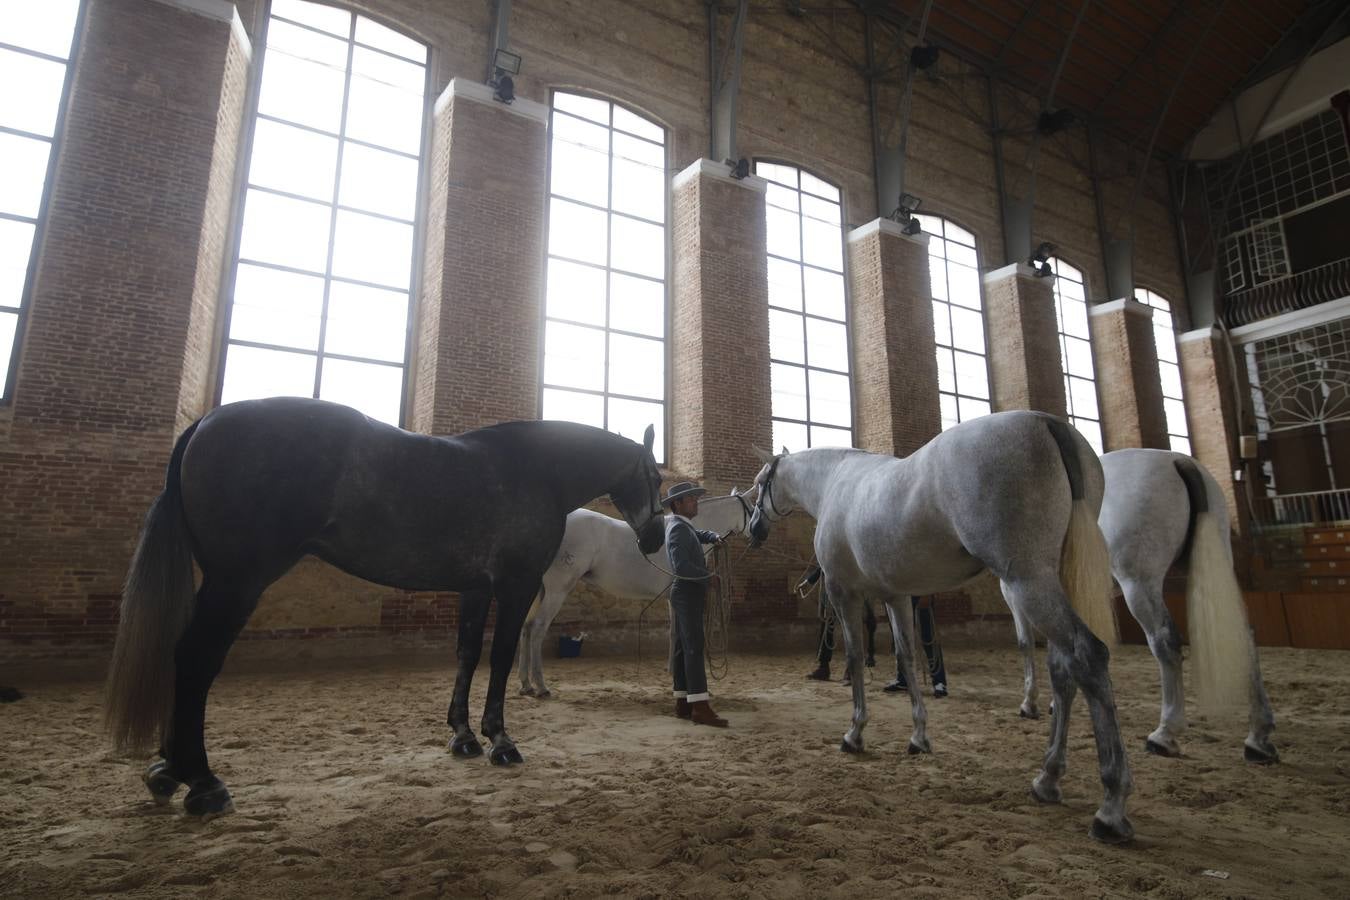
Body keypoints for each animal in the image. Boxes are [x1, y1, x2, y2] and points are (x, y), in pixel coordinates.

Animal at [105, 396, 664, 820]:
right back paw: (201, 782)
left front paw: (463, 736)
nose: (656, 538)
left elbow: (466, 656)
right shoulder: (515, 586)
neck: (534, 471)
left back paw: (168, 771)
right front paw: (500, 740)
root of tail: (207, 421)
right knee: (196, 661)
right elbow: (502, 658)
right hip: (236, 583)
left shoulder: (475, 589)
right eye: (656, 478)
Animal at [515, 493, 756, 696]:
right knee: (537, 628)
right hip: (557, 590)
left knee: (526, 627)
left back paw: (526, 684)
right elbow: (678, 634)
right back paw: (541, 686)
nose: (758, 533)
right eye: (752, 508)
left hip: (540, 591)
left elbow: (673, 633)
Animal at [745, 412, 1134, 841]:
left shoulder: (843, 593)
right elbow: (906, 656)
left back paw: (1110, 808)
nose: (753, 530)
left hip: (1028, 580)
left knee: (1088, 656)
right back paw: (1047, 778)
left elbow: (856, 657)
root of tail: (1045, 422)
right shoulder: (895, 596)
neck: (836, 481)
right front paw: (918, 737)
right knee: (1064, 670)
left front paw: (855, 733)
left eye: (760, 483)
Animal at [1015, 447, 1274, 766]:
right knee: (1241, 635)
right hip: (1214, 566)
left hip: (1139, 584)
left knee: (1165, 642)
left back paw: (1164, 734)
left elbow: (1027, 642)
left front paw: (1031, 703)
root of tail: (1177, 461)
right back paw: (1258, 738)